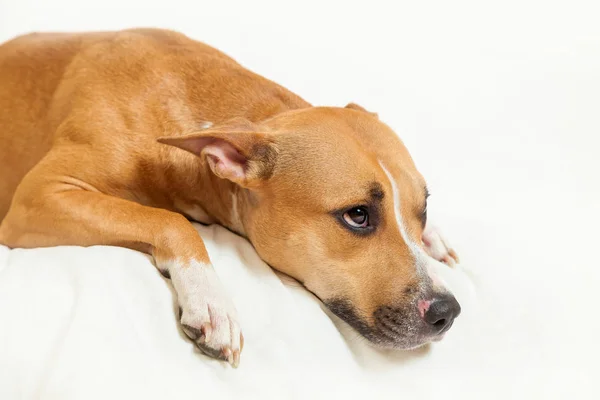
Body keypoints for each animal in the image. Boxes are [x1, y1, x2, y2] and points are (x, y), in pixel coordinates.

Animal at [0, 28, 462, 366]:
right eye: (358, 215)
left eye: (423, 209)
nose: (448, 312)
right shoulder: (40, 196)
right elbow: (170, 220)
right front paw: (211, 300)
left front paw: (434, 237)